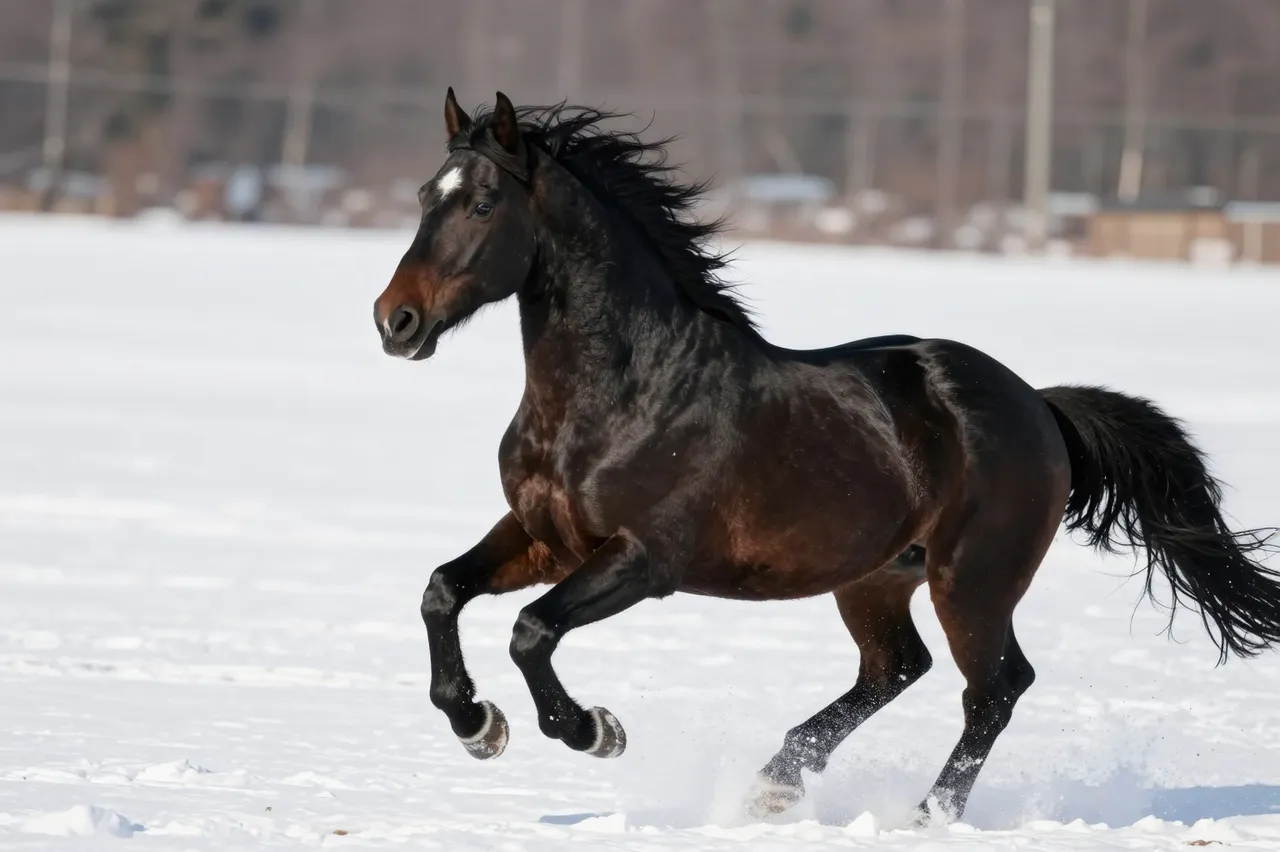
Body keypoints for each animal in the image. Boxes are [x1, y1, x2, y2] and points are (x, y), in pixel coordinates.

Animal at [371, 87, 1280, 824]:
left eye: (482, 202)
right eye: (424, 195)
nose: (395, 321)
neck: (624, 390)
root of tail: (1039, 404)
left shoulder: (643, 560)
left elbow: (532, 630)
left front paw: (594, 731)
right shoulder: (543, 538)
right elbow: (442, 591)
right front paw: (477, 724)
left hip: (972, 579)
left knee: (993, 689)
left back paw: (925, 816)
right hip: (876, 577)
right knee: (898, 668)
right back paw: (774, 786)